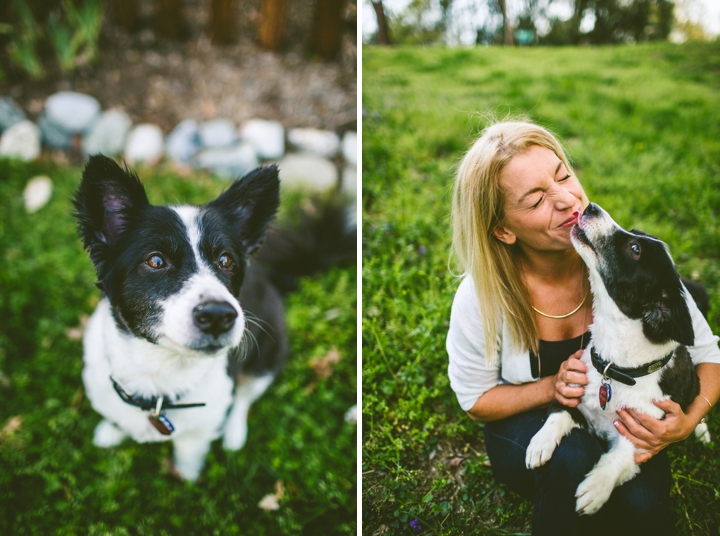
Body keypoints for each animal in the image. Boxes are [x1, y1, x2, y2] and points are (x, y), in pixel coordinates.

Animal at [71, 154, 290, 482]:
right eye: (156, 260)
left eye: (225, 259)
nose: (218, 315)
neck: (158, 373)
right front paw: (111, 430)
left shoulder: (203, 422)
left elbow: (189, 450)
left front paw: (187, 477)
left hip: (268, 355)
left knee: (244, 396)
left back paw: (234, 434)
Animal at [524, 202, 708, 516]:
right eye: (634, 234)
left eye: (634, 248)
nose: (590, 206)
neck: (617, 368)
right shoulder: (573, 394)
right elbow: (558, 413)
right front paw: (540, 442)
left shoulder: (642, 439)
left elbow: (618, 459)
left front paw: (595, 489)